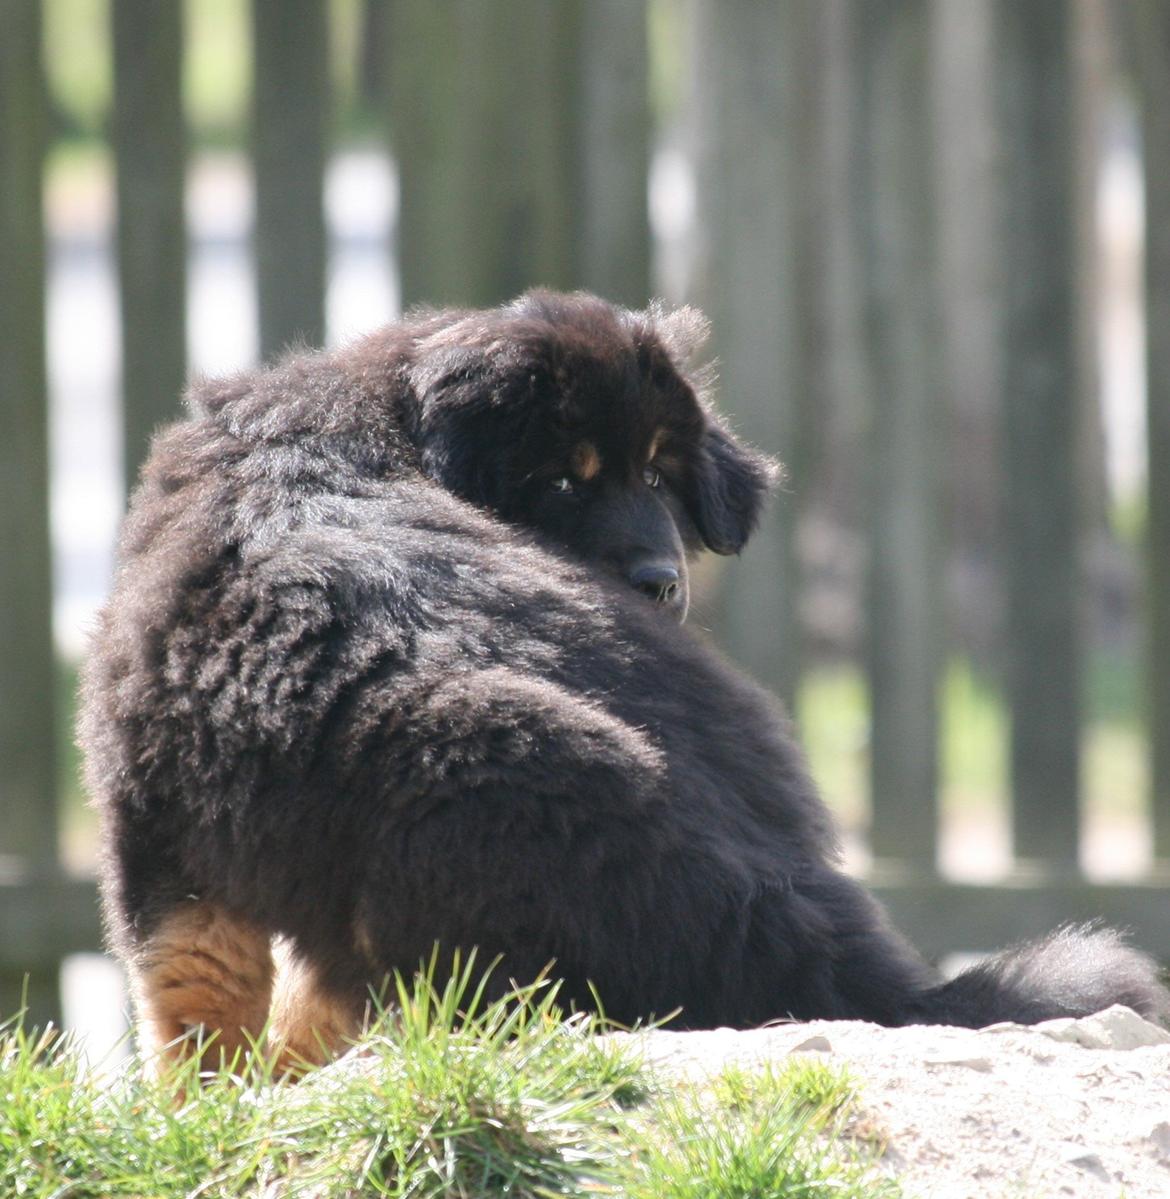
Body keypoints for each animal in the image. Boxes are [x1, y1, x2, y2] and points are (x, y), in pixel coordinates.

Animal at [77, 287, 1165, 1069]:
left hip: (468, 768)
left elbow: (197, 1021)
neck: (348, 429)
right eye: (566, 478)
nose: (661, 583)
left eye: (654, 472)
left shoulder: (158, 835)